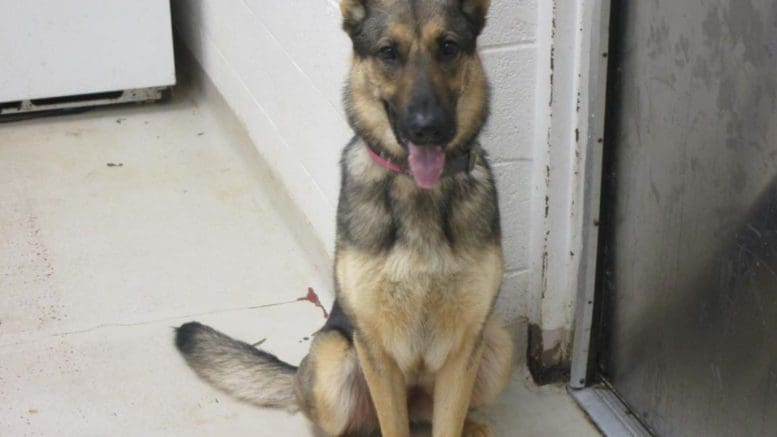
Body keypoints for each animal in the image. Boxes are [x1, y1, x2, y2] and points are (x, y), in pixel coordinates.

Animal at [178, 1, 512, 434]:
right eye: (388, 52)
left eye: (449, 47)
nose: (427, 128)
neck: (418, 192)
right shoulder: (374, 349)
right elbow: (393, 426)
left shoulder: (465, 346)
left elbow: (447, 424)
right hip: (334, 357)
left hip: (498, 342)